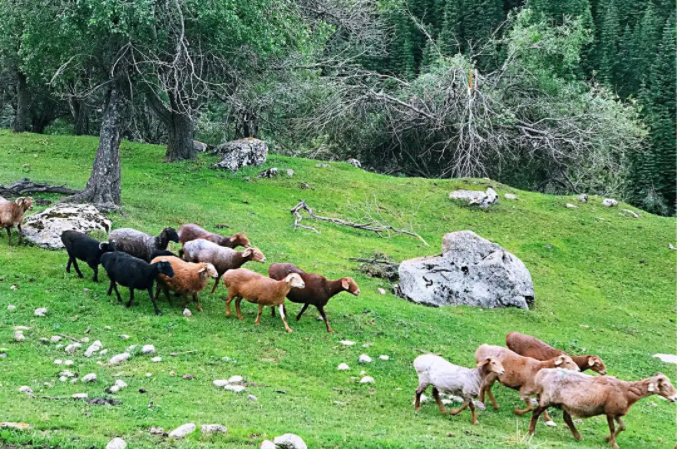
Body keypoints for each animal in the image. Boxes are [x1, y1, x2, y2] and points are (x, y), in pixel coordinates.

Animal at [532, 370, 672, 446]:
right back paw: (531, 432)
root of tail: (543, 374)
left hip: (564, 404)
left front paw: (607, 439)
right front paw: (614, 443)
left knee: (567, 418)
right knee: (535, 413)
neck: (627, 391)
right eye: (664, 384)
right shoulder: (610, 412)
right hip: (548, 398)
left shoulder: (616, 412)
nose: (674, 398)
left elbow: (623, 426)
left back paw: (578, 437)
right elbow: (613, 428)